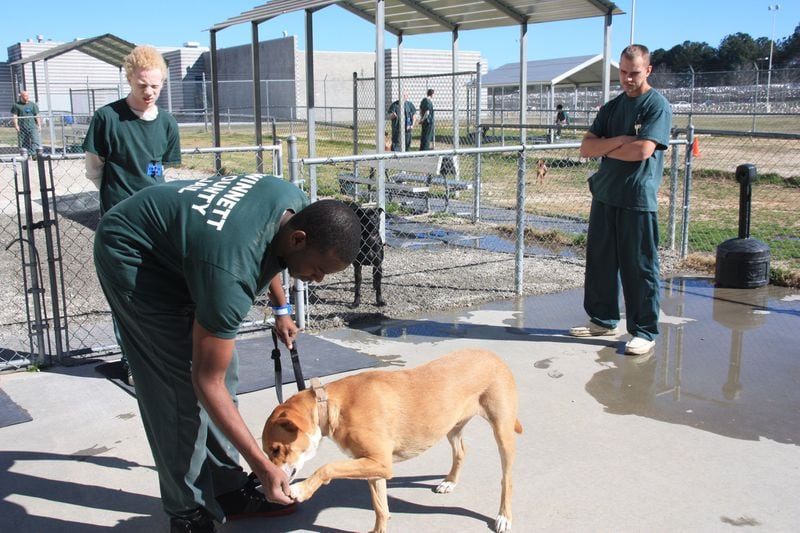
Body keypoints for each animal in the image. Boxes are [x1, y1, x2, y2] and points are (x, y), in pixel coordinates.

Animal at [264, 350, 524, 532]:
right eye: (268, 452)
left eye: (276, 449)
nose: (270, 487)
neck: (329, 404)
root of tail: (494, 356)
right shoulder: (372, 465)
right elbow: (380, 508)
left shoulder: (380, 463)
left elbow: (328, 467)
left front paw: (301, 490)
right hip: (451, 426)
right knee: (461, 450)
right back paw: (450, 481)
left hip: (502, 432)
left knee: (508, 480)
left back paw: (503, 517)